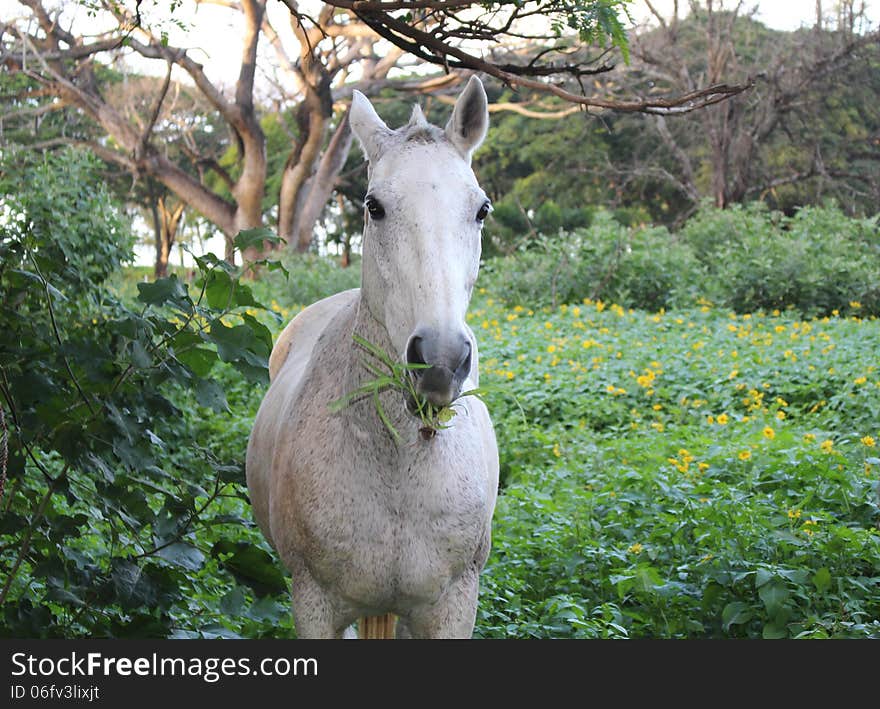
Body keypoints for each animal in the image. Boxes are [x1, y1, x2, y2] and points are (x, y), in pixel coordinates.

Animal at [244, 77, 498, 636]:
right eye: (374, 206)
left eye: (481, 209)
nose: (440, 359)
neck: (401, 462)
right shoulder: (314, 604)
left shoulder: (453, 606)